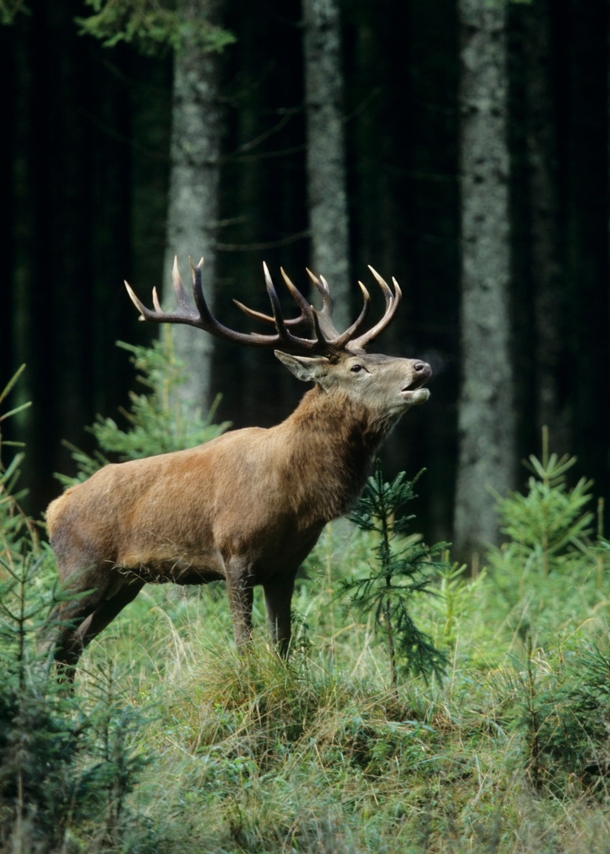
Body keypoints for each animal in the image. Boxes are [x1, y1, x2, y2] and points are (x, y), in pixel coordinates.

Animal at [46, 258, 428, 680]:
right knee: (48, 638)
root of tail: (54, 508)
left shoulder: (285, 567)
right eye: (357, 367)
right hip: (82, 567)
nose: (422, 366)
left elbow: (282, 645)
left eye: (379, 354)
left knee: (72, 645)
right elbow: (244, 643)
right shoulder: (235, 552)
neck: (296, 499)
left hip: (124, 582)